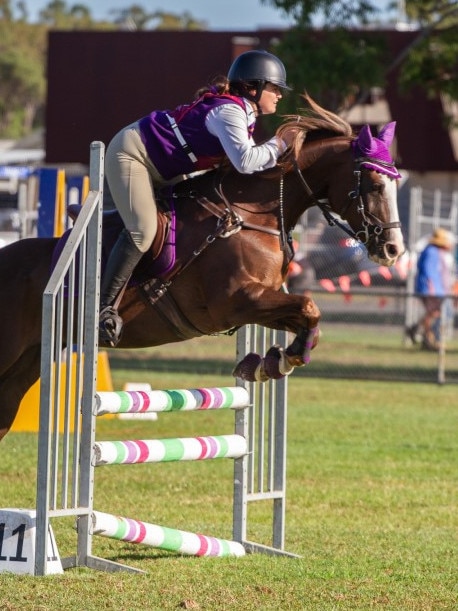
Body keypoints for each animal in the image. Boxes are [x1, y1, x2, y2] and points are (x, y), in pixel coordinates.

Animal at [0, 95, 404, 440]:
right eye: (373, 184)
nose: (393, 249)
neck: (249, 216)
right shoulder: (236, 302)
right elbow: (309, 305)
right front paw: (275, 362)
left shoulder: (260, 301)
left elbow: (308, 319)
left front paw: (272, 362)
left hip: (28, 362)